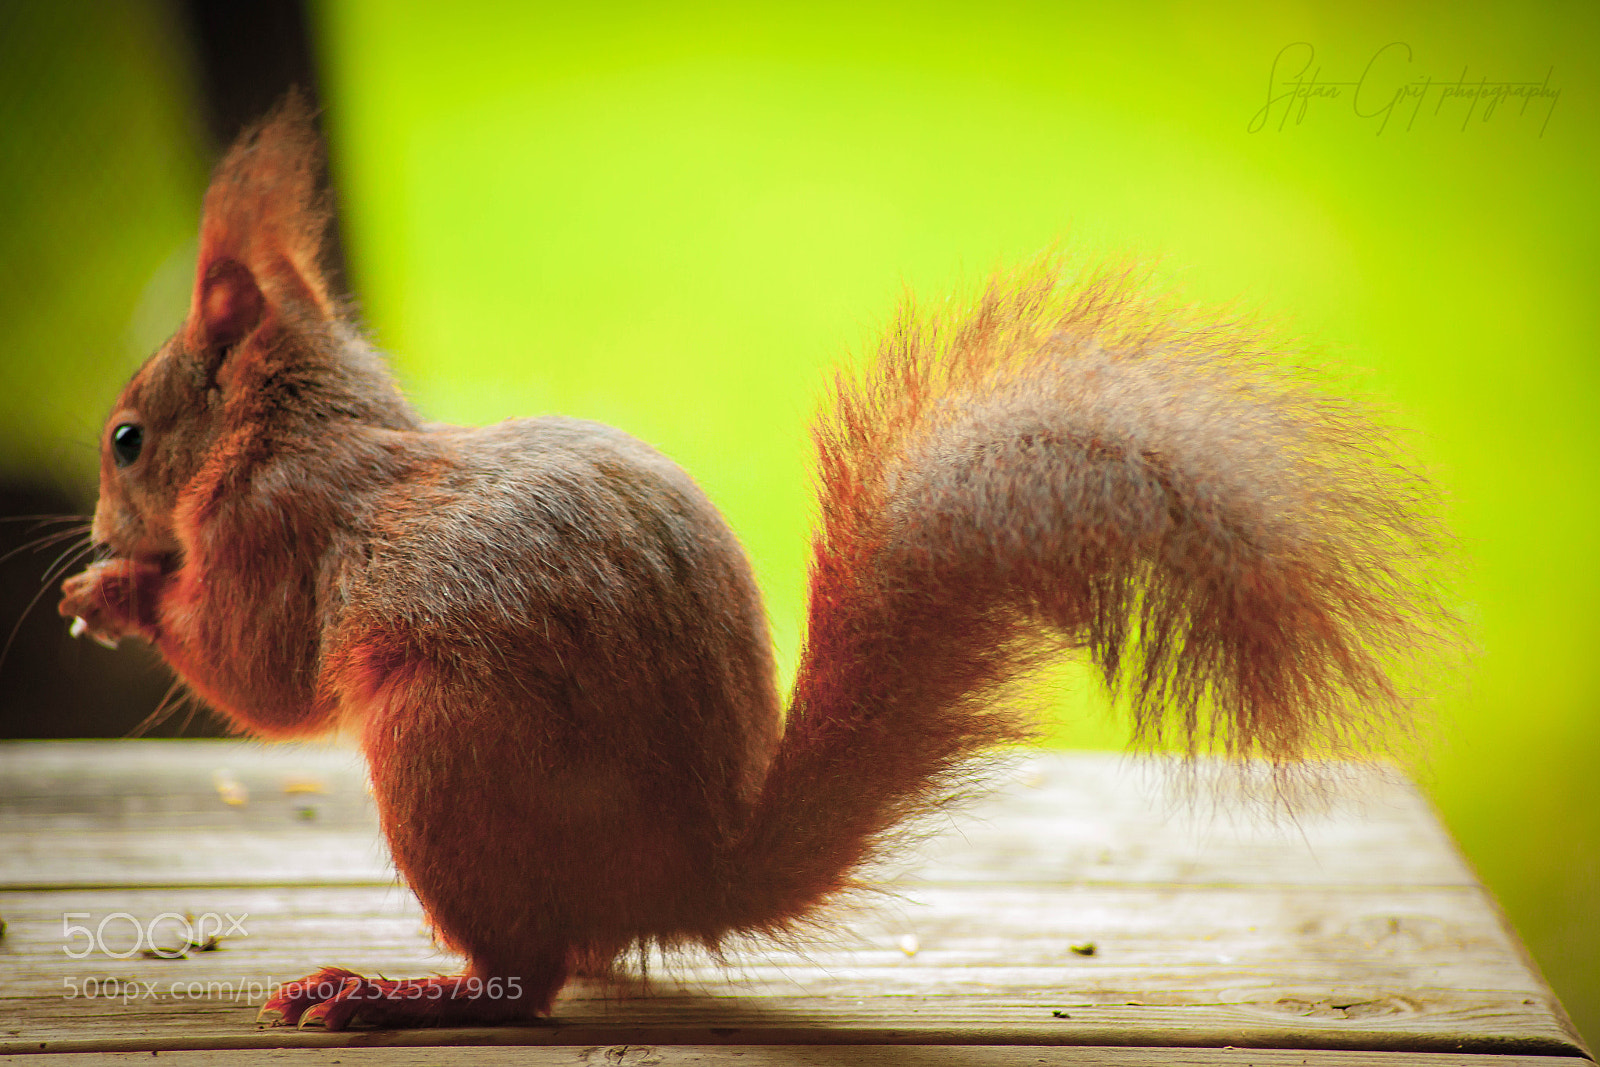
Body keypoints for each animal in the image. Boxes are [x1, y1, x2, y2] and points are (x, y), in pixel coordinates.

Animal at [58, 95, 1452, 1030]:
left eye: (127, 438)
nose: (101, 533)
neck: (296, 425)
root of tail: (689, 881)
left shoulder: (280, 530)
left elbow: (261, 676)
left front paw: (117, 594)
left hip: (442, 748)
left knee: (526, 977)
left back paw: (392, 991)